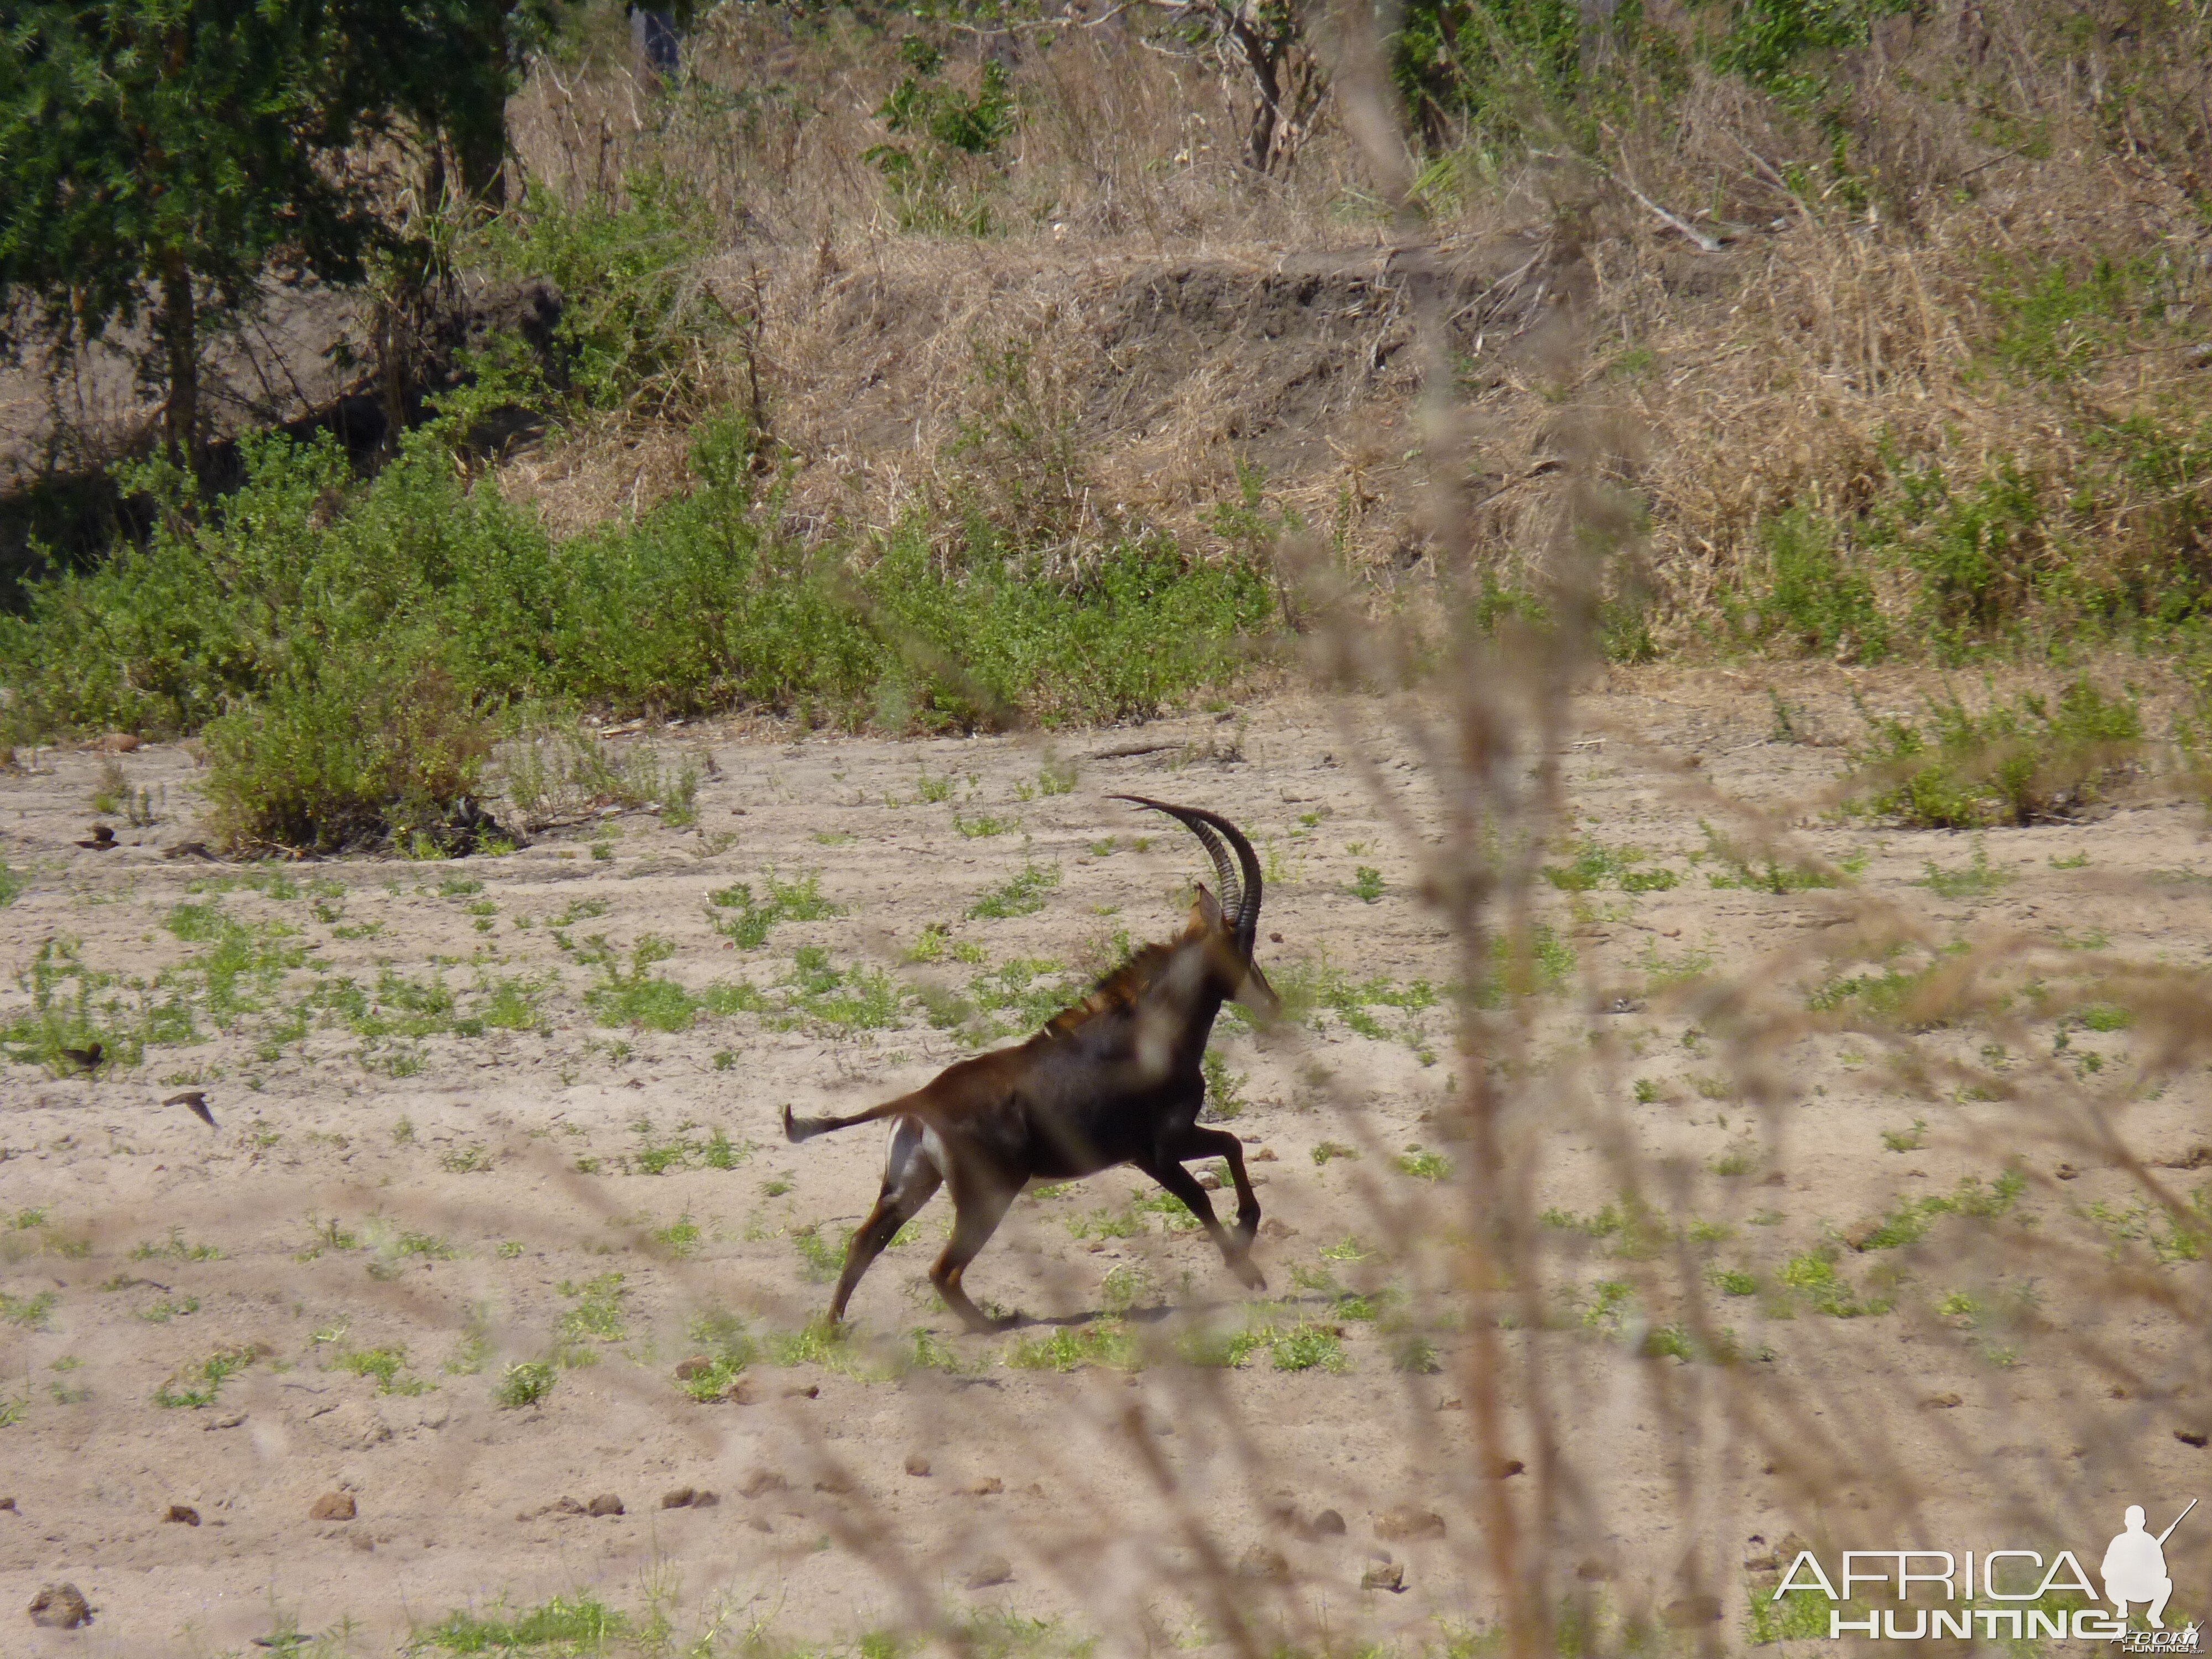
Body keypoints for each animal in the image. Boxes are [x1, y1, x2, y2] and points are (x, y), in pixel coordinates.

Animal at [792, 796, 1283, 1336]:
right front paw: (1246, 1269)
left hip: (910, 1188)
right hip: (988, 1197)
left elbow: (1232, 1145)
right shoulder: (1155, 1152)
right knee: (943, 1269)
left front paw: (1247, 1232)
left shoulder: (1170, 1141)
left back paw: (833, 1329)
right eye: (1245, 945)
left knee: (865, 1243)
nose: (1273, 1004)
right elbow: (1202, 1194)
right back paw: (992, 1325)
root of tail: (920, 1101)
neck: (1146, 1033)